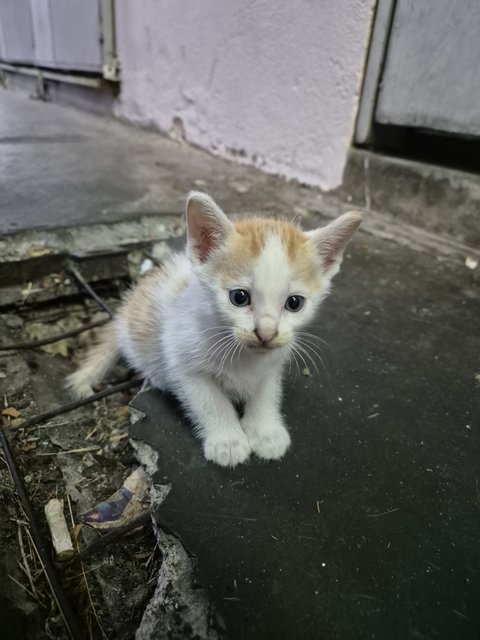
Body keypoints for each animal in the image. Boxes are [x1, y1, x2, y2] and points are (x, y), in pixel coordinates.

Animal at [66, 192, 360, 468]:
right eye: (239, 297)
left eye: (294, 303)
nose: (265, 333)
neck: (244, 356)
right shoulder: (186, 364)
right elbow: (210, 402)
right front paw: (227, 441)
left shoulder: (273, 363)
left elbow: (267, 392)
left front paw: (265, 431)